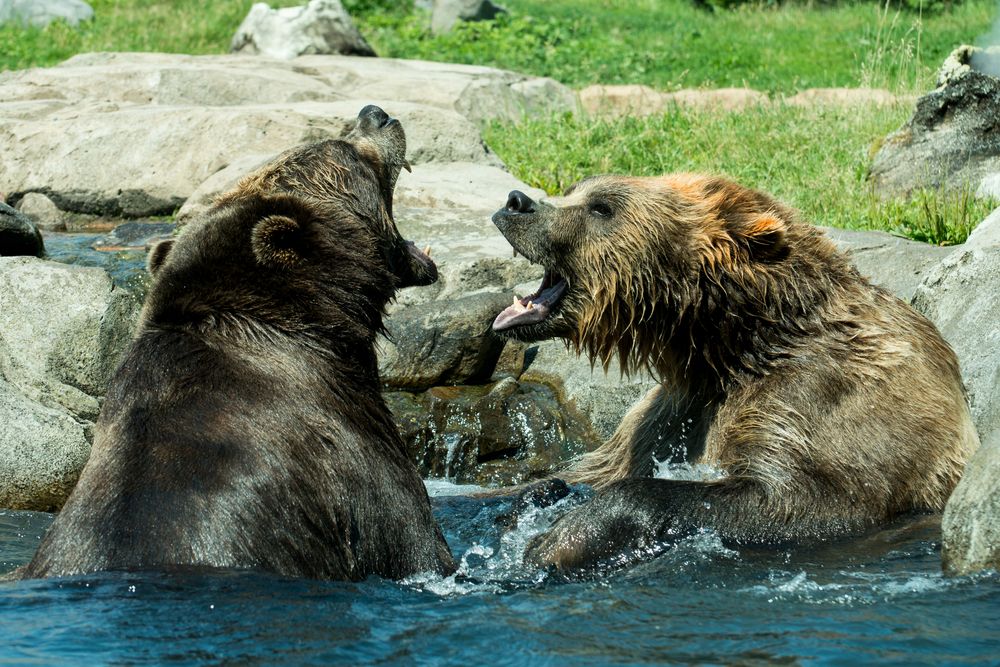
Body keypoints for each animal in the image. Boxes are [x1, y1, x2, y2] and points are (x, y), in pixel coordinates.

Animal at [490, 173, 980, 571]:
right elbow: (589, 469)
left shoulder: (821, 393)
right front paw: (536, 499)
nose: (516, 201)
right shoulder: (671, 410)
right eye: (575, 190)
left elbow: (806, 500)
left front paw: (559, 538)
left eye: (602, 207)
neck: (730, 343)